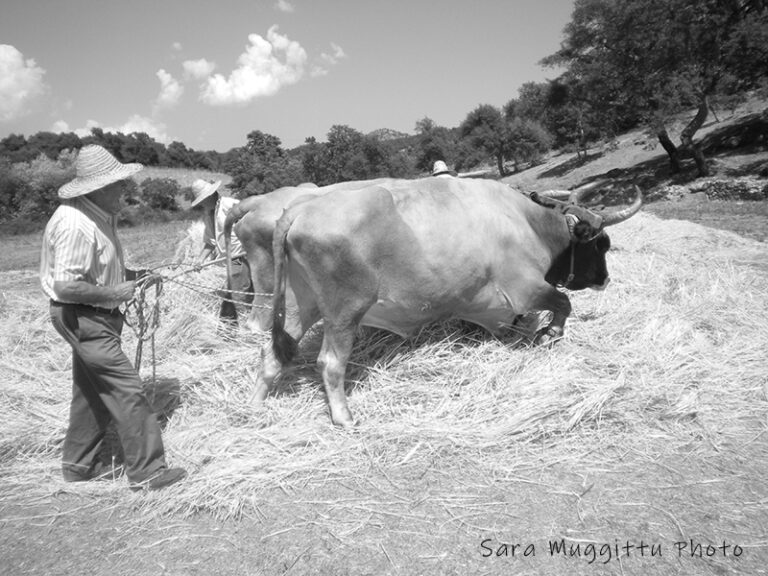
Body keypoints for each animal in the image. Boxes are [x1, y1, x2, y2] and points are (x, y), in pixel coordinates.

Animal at [226, 177, 640, 428]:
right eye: (601, 245)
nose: (604, 279)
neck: (527, 222)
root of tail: (300, 208)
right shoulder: (525, 287)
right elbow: (563, 303)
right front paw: (550, 333)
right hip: (345, 311)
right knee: (329, 363)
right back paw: (344, 416)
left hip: (301, 306)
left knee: (272, 353)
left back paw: (254, 406)